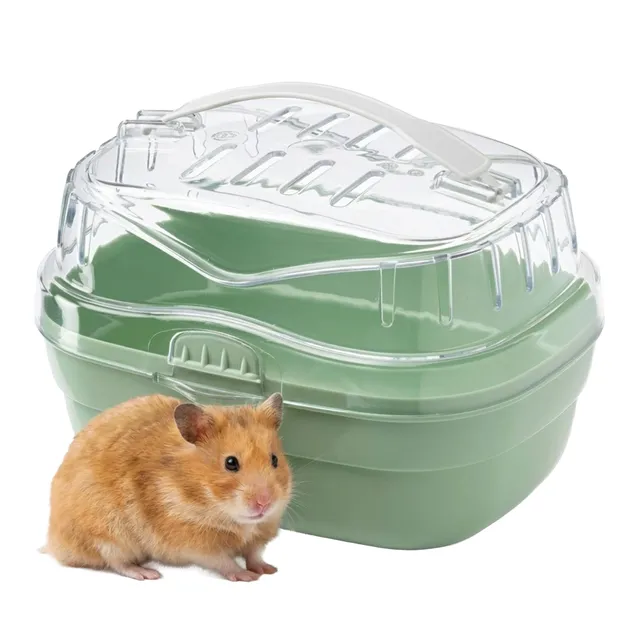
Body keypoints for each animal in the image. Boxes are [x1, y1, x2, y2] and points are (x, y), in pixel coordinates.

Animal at [43, 393, 292, 582]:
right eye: (230, 463)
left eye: (274, 460)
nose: (264, 503)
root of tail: (53, 543)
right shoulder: (192, 541)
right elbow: (222, 560)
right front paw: (247, 576)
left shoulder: (261, 532)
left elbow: (254, 553)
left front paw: (268, 570)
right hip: (108, 533)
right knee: (116, 562)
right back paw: (147, 573)